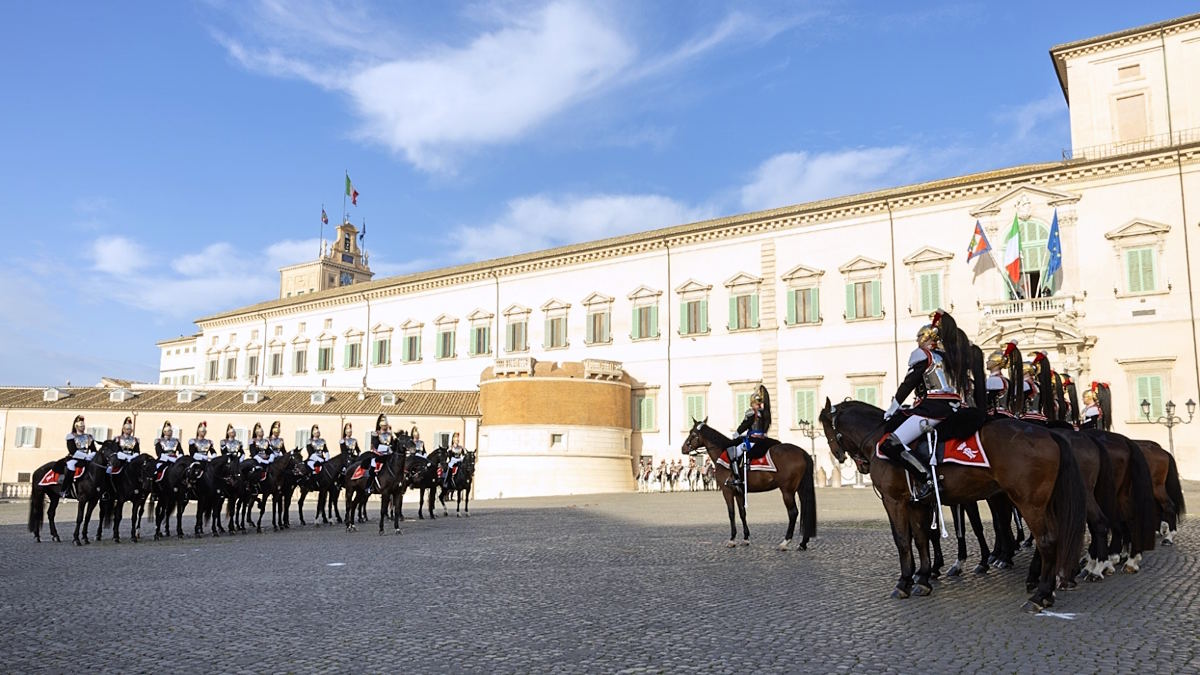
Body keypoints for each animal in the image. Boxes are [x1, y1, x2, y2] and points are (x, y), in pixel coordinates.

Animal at [686, 415, 816, 552]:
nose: (683, 448)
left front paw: (732, 539)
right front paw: (745, 538)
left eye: (692, 433)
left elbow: (731, 513)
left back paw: (785, 542)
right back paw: (803, 543)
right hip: (800, 489)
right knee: (805, 512)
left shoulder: (727, 491)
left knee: (793, 512)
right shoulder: (739, 492)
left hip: (787, 491)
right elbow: (742, 513)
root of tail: (802, 452)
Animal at [816, 396, 1089, 612]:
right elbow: (922, 538)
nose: (840, 456)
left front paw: (904, 582)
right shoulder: (917, 503)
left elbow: (903, 540)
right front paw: (923, 579)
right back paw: (1045, 589)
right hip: (1041, 503)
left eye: (827, 429)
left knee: (1046, 541)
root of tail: (1049, 433)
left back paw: (1039, 595)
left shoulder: (894, 501)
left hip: (1028, 502)